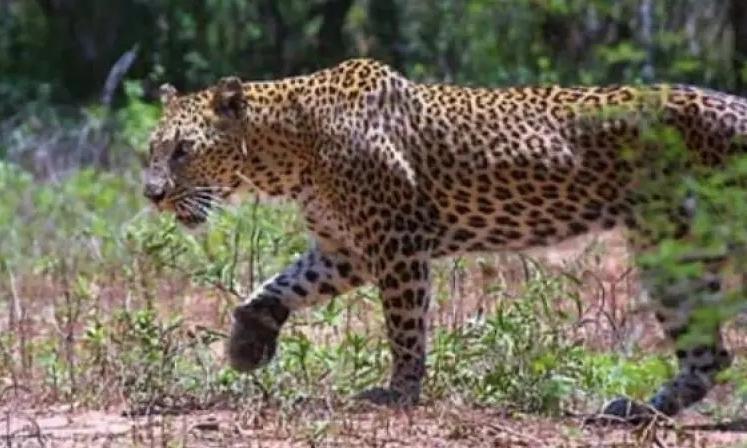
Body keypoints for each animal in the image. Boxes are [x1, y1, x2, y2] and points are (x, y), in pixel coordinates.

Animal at [144, 58, 747, 421]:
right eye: (152, 148)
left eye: (183, 150)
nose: (151, 194)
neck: (288, 148)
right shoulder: (346, 250)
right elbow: (282, 284)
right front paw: (249, 341)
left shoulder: (396, 242)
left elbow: (405, 327)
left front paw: (400, 393)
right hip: (670, 250)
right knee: (709, 355)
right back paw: (634, 411)